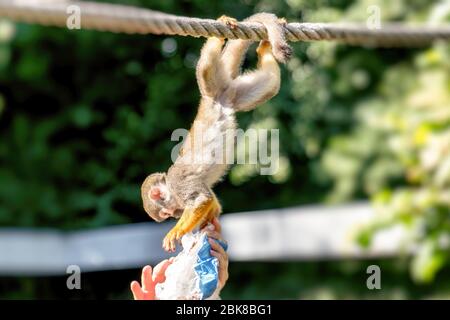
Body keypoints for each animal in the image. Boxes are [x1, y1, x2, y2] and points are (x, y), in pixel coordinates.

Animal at [142, 13, 294, 251]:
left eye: (166, 214)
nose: (175, 215)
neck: (170, 186)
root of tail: (220, 95)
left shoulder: (178, 182)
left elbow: (201, 199)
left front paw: (176, 231)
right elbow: (211, 199)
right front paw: (209, 227)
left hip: (212, 83)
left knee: (204, 68)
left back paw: (218, 34)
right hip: (238, 93)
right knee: (271, 84)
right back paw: (264, 51)